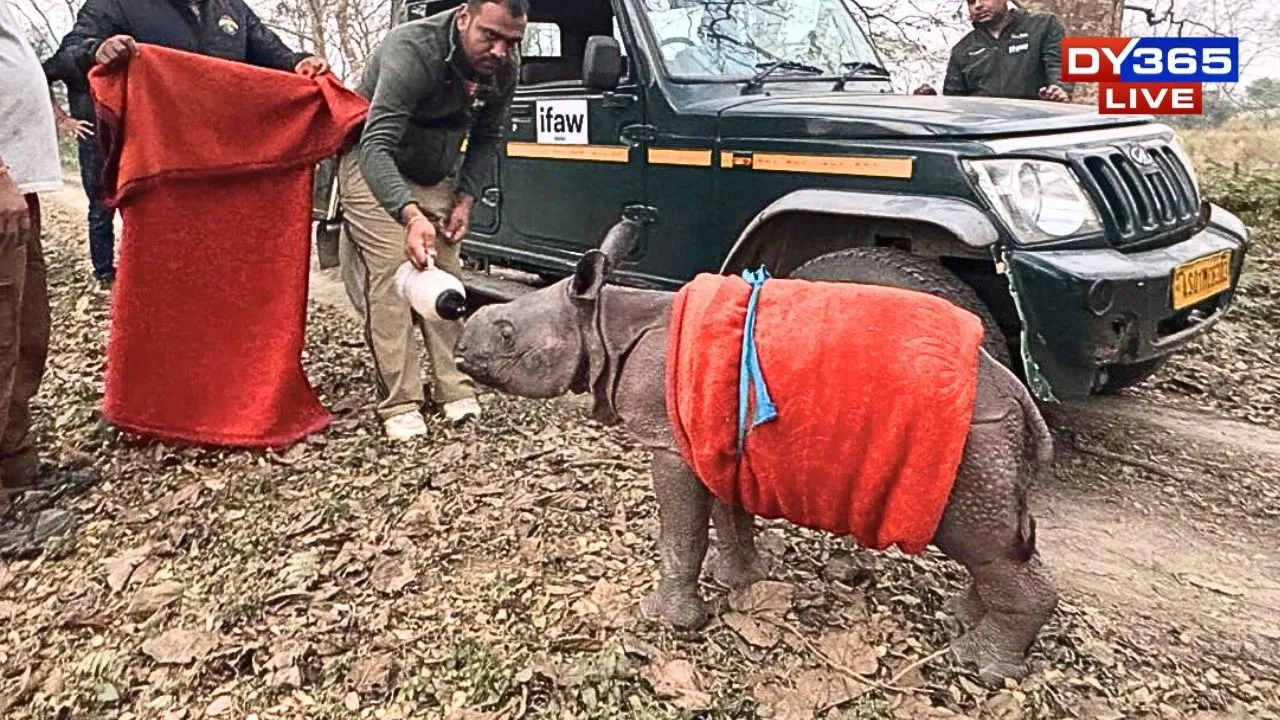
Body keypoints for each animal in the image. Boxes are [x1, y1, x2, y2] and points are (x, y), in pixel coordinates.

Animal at [454, 220, 1060, 684]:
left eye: (506, 336)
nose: (460, 349)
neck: (600, 320)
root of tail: (1021, 396)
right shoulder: (712, 431)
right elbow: (728, 513)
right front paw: (740, 579)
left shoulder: (671, 440)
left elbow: (681, 532)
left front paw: (669, 620)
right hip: (989, 442)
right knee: (994, 543)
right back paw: (964, 621)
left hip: (973, 441)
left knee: (978, 539)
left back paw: (978, 666)